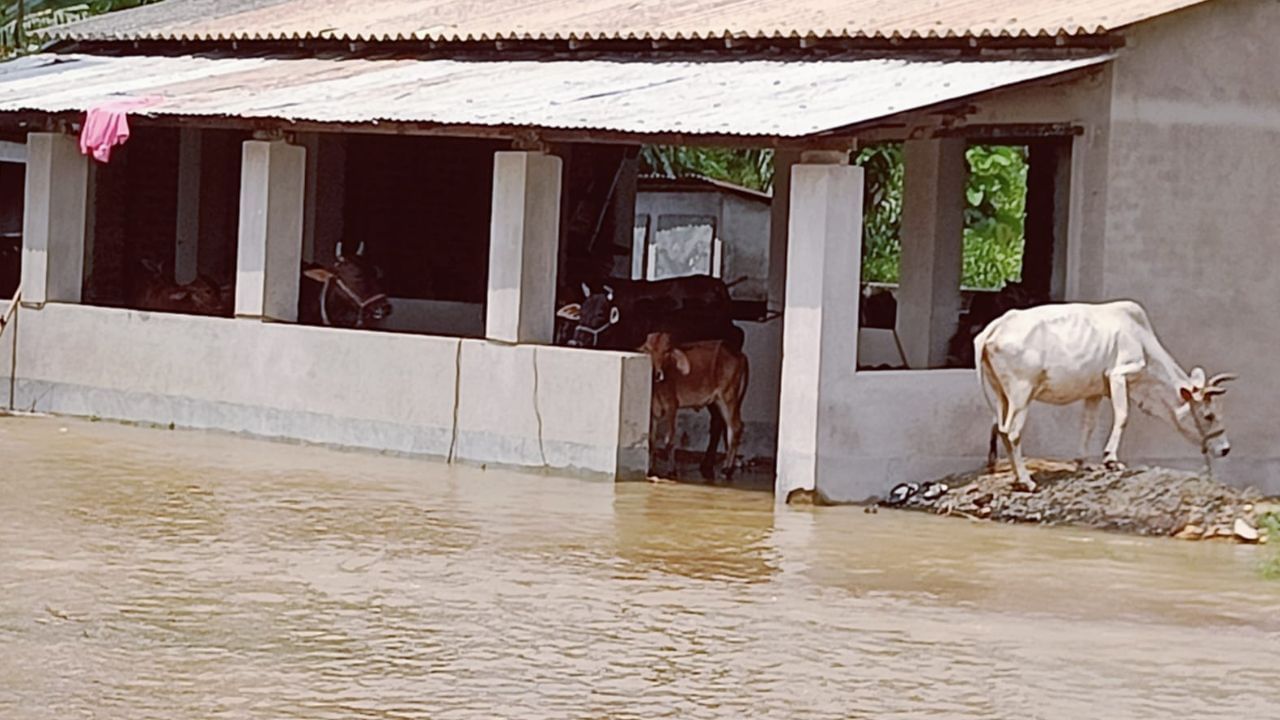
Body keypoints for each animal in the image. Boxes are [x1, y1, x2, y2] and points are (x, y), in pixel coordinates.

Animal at [640, 333, 747, 479]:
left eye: (666, 351)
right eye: (648, 349)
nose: (657, 373)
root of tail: (740, 354)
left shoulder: (671, 406)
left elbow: (669, 440)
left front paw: (672, 470)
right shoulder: (653, 411)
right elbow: (651, 440)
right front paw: (651, 470)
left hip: (728, 397)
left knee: (735, 428)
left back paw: (726, 469)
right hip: (719, 402)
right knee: (728, 426)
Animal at [972, 299, 1233, 489]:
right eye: (1209, 415)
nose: (1225, 449)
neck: (1142, 340)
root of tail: (995, 327)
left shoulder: (1094, 392)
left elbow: (1088, 425)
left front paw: (1083, 463)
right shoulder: (1118, 375)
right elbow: (1123, 416)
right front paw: (1111, 460)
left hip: (1002, 395)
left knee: (1002, 430)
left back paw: (1018, 478)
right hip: (1021, 393)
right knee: (1012, 433)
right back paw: (1026, 481)